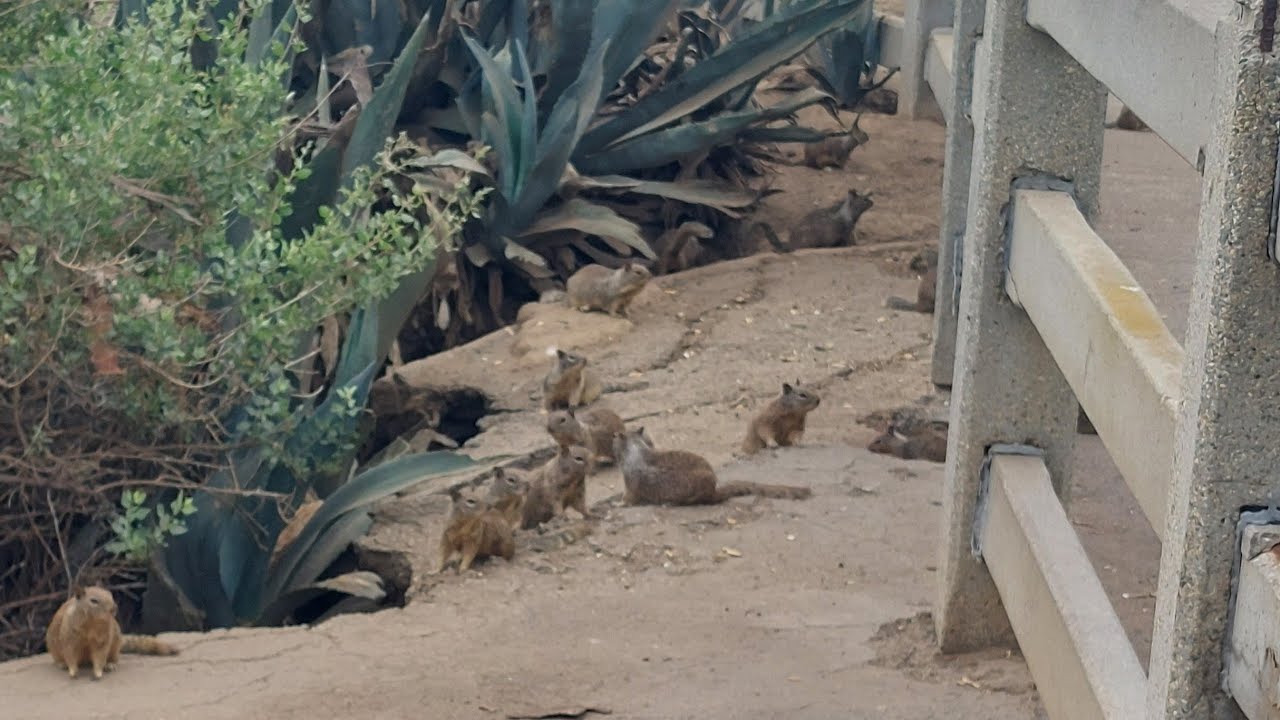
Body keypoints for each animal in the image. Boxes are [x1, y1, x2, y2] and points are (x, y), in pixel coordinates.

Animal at [46, 585, 178, 679]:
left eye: (111, 595)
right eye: (93, 601)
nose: (114, 608)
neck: (91, 622)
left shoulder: (103, 638)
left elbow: (100, 655)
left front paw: (98, 672)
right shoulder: (70, 637)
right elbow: (70, 653)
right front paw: (73, 671)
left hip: (115, 646)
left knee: (113, 658)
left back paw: (110, 665)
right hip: (54, 649)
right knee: (59, 659)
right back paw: (62, 664)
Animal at [614, 427, 812, 506]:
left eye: (616, 439)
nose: (613, 440)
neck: (636, 448)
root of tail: (713, 491)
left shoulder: (629, 481)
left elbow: (628, 498)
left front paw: (618, 503)